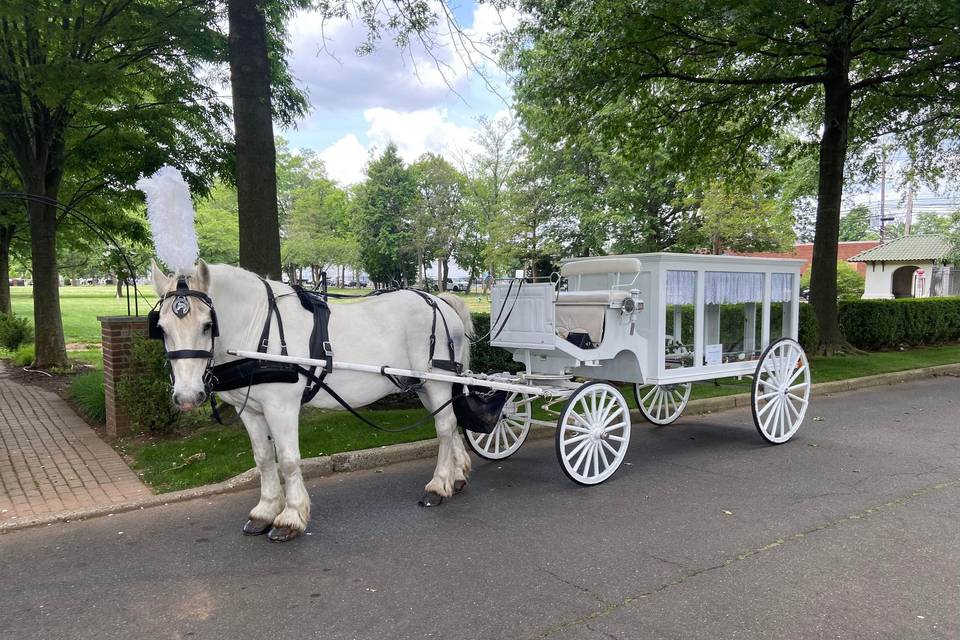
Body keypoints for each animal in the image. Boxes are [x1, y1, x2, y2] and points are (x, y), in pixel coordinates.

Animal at [151, 260, 476, 540]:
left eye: (208, 325)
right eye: (161, 328)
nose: (187, 397)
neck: (258, 330)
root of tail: (440, 302)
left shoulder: (281, 407)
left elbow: (288, 461)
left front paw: (290, 517)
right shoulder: (252, 411)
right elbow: (264, 458)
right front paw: (265, 511)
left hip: (437, 381)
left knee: (444, 428)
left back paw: (438, 486)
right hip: (425, 387)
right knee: (450, 424)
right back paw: (457, 476)